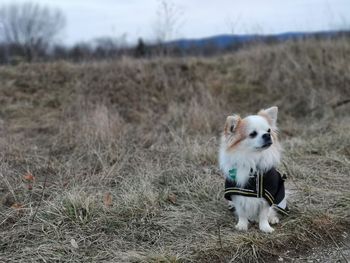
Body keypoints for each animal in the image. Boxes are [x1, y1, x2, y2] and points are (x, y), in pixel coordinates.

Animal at [219, 106, 288, 234]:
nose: (267, 135)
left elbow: (264, 213)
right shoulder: (236, 193)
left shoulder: (267, 194)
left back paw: (272, 218)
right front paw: (242, 225)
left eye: (269, 131)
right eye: (252, 134)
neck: (253, 159)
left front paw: (265, 227)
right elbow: (241, 212)